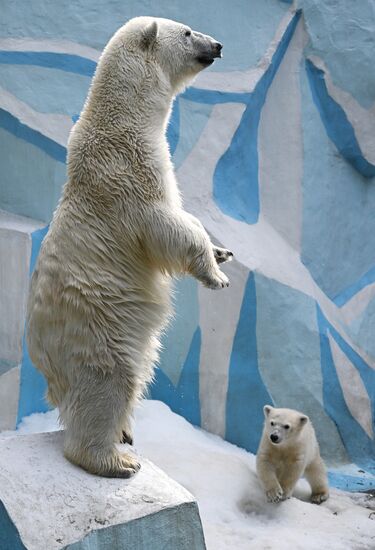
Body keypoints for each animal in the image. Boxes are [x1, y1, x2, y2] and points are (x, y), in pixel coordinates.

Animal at [26, 17, 234, 478]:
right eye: (188, 32)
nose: (218, 45)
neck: (121, 120)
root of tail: (46, 366)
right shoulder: (128, 172)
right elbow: (166, 225)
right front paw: (216, 274)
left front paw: (223, 252)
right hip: (96, 331)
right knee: (110, 383)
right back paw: (115, 459)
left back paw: (125, 433)